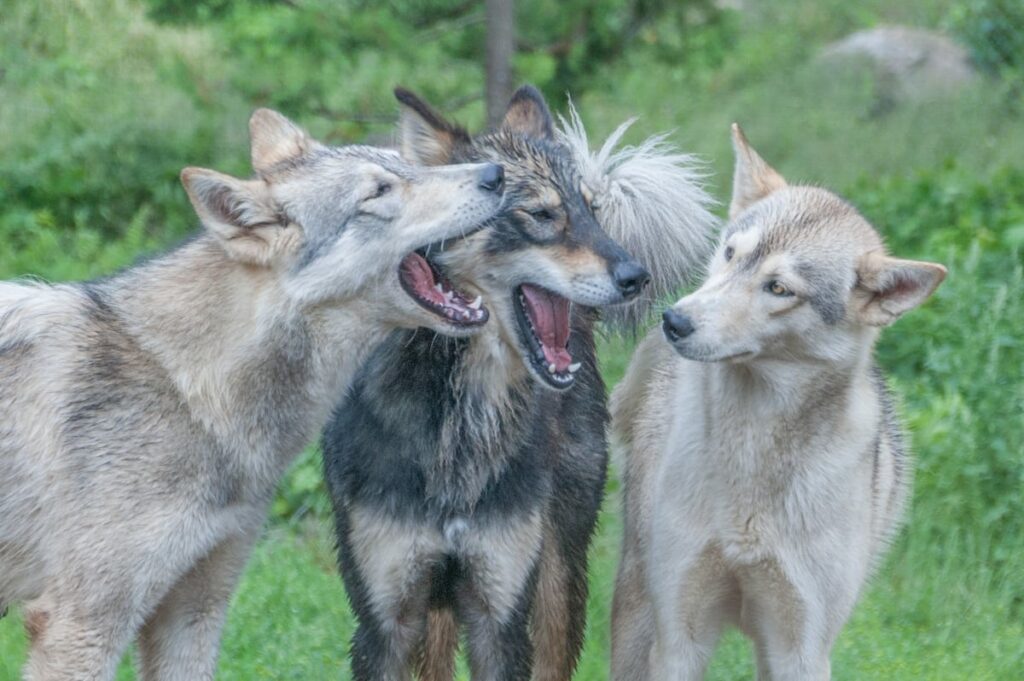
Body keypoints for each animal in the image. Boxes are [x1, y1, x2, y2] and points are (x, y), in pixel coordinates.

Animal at [0, 109, 503, 675]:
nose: (496, 173)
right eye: (378, 191)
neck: (185, 388)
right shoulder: (81, 626)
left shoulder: (194, 611)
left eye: (406, 164)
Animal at [319, 84, 712, 679]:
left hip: (557, 579)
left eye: (591, 210)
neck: (462, 421)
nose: (636, 277)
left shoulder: (500, 616)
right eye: (540, 213)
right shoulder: (385, 622)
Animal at [606, 124, 942, 675]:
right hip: (635, 606)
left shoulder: (799, 650)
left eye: (779, 288)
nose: (674, 320)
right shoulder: (679, 638)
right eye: (730, 253)